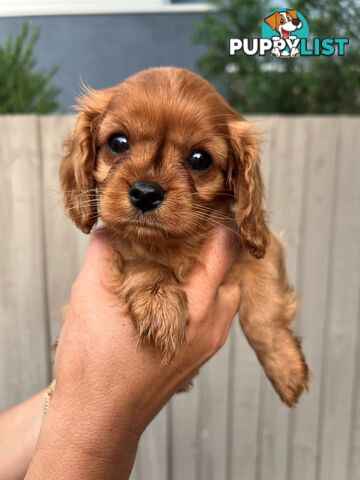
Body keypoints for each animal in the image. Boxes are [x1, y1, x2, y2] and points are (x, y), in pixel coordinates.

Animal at [59, 66, 310, 404]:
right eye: (118, 142)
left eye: (200, 159)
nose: (146, 193)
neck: (174, 245)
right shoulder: (117, 251)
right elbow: (141, 261)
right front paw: (160, 303)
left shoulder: (260, 252)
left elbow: (263, 313)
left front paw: (286, 367)